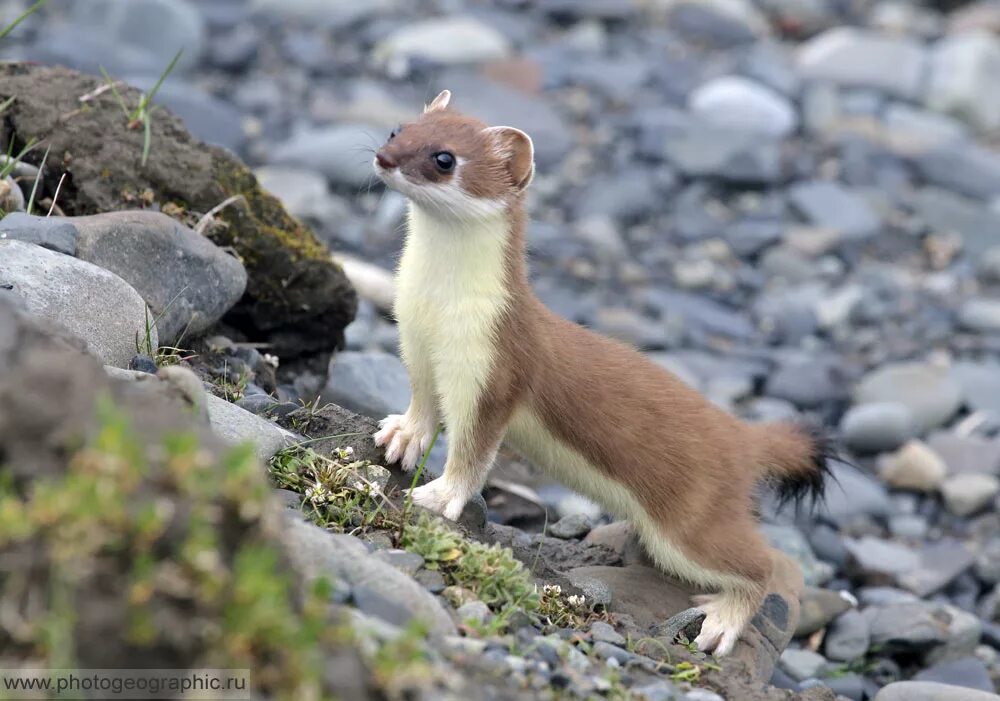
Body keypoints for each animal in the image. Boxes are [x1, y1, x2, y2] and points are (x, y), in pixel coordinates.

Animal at [372, 91, 824, 656]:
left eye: (444, 158)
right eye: (397, 129)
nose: (383, 157)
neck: (436, 307)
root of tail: (743, 435)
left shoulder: (495, 366)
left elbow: (474, 449)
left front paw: (439, 495)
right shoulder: (413, 339)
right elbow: (422, 401)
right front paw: (401, 436)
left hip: (689, 519)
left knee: (765, 563)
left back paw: (723, 620)